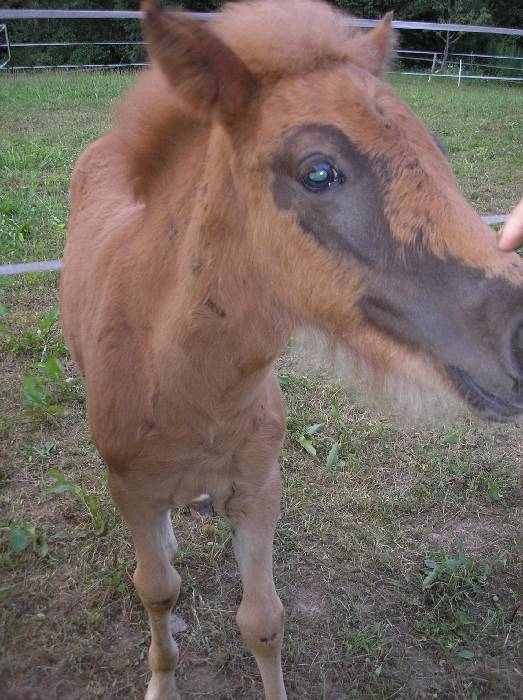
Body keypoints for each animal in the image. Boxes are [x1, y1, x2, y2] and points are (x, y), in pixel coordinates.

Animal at [60, 1, 523, 698]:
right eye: (319, 172)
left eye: (438, 151)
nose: (521, 335)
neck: (184, 385)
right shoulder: (131, 489)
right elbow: (157, 590)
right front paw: (162, 680)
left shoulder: (259, 488)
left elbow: (263, 622)